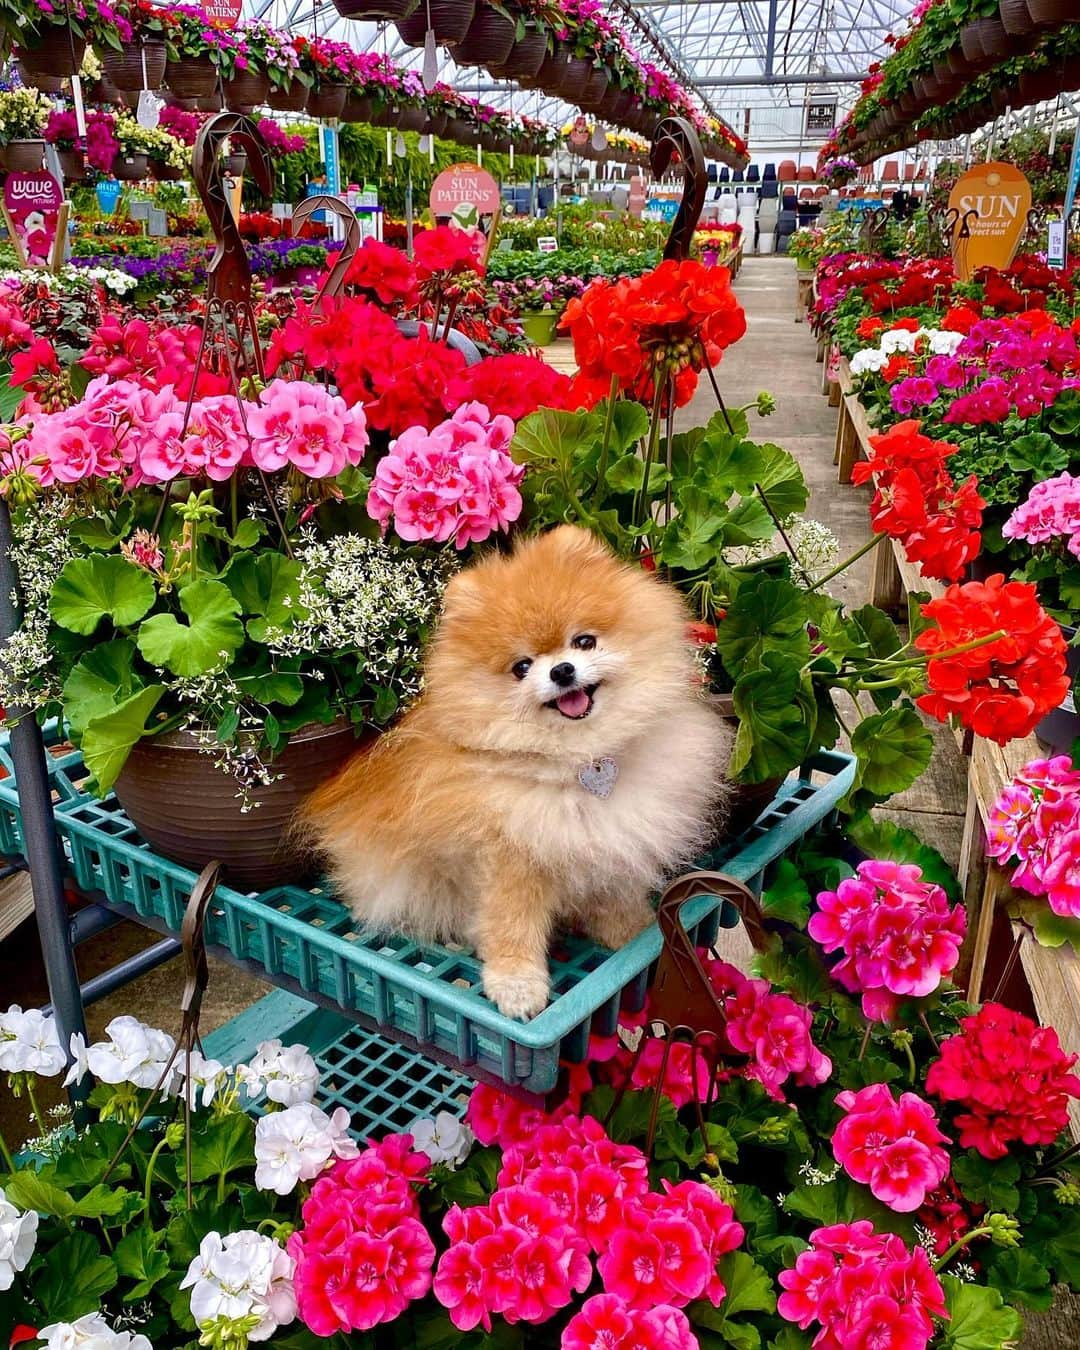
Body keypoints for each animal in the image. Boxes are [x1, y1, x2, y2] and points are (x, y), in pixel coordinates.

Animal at [299, 521, 729, 1015]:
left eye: (584, 641)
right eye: (522, 667)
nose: (562, 671)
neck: (578, 762)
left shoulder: (608, 838)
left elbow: (612, 896)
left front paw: (631, 930)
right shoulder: (508, 858)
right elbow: (511, 925)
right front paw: (516, 985)